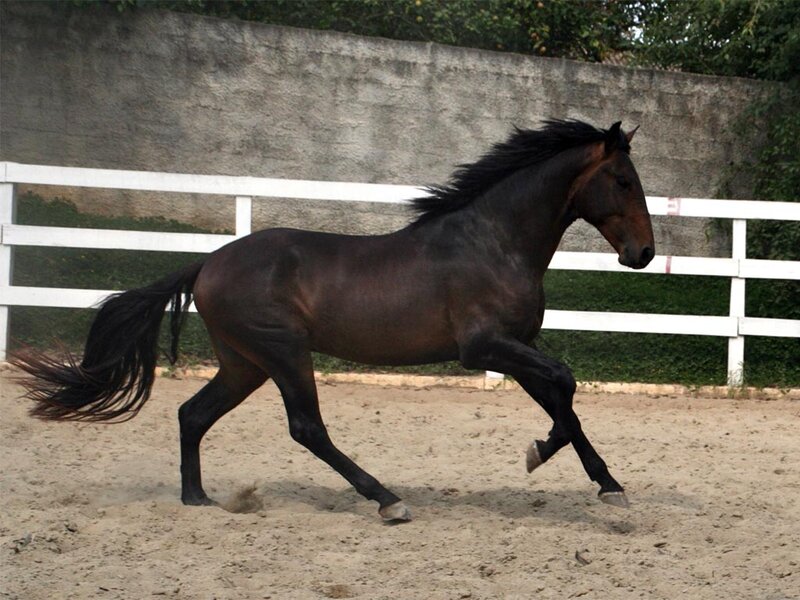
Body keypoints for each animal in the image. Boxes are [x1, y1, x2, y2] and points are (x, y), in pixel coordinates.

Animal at [12, 119, 655, 522]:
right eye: (623, 180)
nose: (643, 254)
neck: (493, 242)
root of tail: (206, 263)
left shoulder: (516, 347)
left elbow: (562, 401)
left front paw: (606, 484)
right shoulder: (484, 348)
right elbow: (566, 384)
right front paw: (543, 455)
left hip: (244, 363)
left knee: (192, 414)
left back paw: (198, 499)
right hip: (284, 352)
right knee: (306, 428)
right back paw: (388, 500)